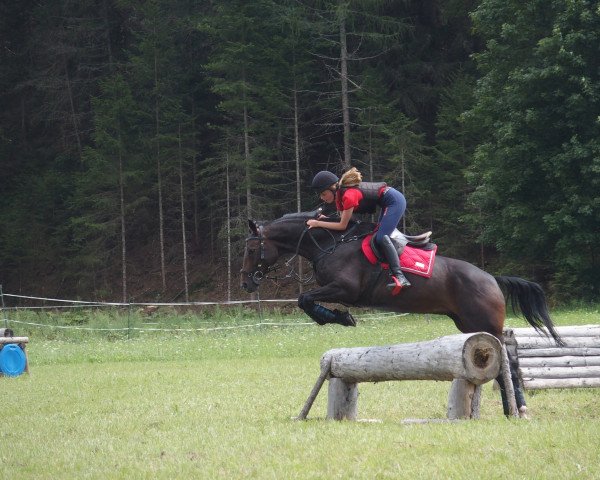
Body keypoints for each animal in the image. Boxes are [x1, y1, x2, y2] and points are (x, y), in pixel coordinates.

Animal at [239, 210, 564, 416]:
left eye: (252, 250)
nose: (246, 282)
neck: (330, 244)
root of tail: (492, 279)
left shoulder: (344, 289)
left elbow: (304, 298)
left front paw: (339, 318)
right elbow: (304, 299)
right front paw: (337, 317)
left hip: (485, 324)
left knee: (509, 365)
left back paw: (518, 409)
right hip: (469, 325)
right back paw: (512, 409)